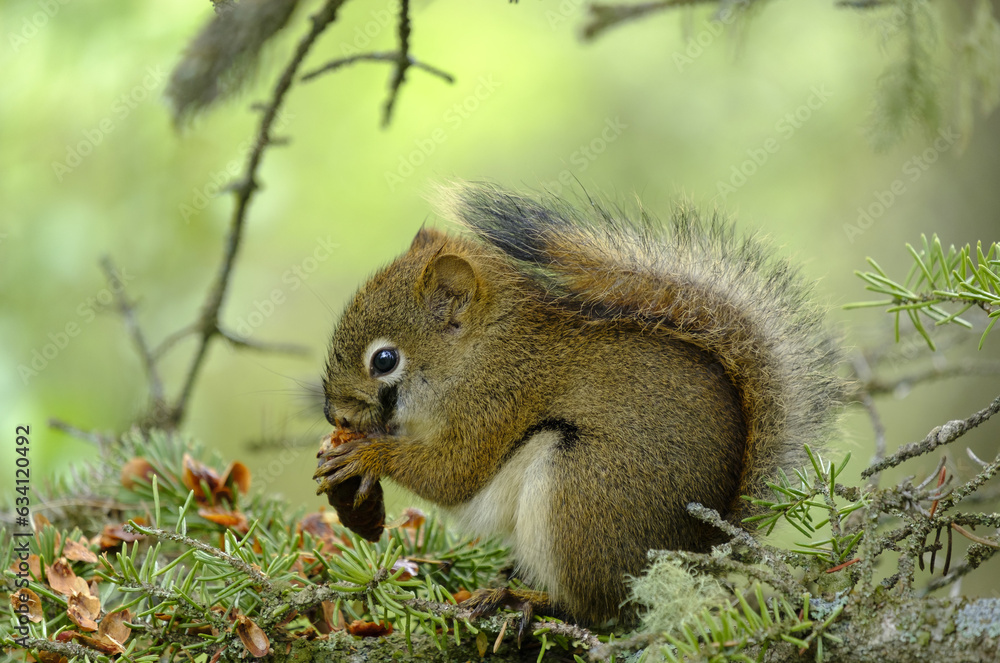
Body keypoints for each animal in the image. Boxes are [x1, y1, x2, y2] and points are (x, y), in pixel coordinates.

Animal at [315, 182, 843, 627]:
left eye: (384, 360)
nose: (334, 415)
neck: (480, 351)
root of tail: (696, 557)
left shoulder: (496, 400)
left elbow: (453, 473)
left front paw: (366, 454)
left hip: (580, 492)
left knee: (600, 609)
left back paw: (522, 598)